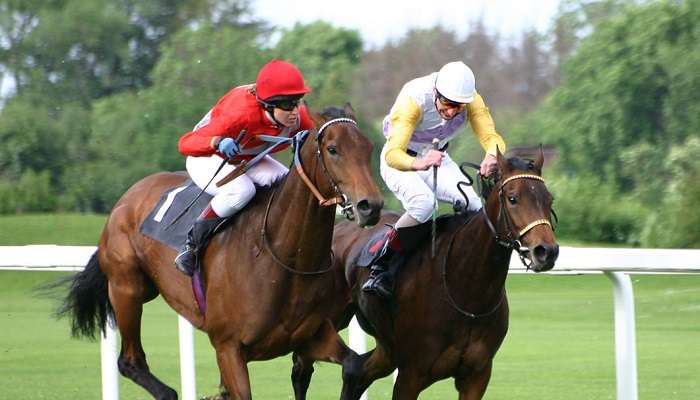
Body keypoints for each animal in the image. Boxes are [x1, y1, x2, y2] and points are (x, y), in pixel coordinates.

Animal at [59, 104, 382, 400]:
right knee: (131, 362)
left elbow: (352, 366)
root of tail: (127, 197)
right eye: (332, 149)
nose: (371, 206)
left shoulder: (311, 335)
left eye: (368, 147)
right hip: (127, 287)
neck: (283, 258)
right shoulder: (229, 347)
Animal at [292, 148, 560, 398]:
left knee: (355, 371)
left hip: (385, 349)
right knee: (302, 368)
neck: (466, 291)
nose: (546, 251)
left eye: (549, 199)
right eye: (513, 198)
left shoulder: (477, 375)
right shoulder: (411, 374)